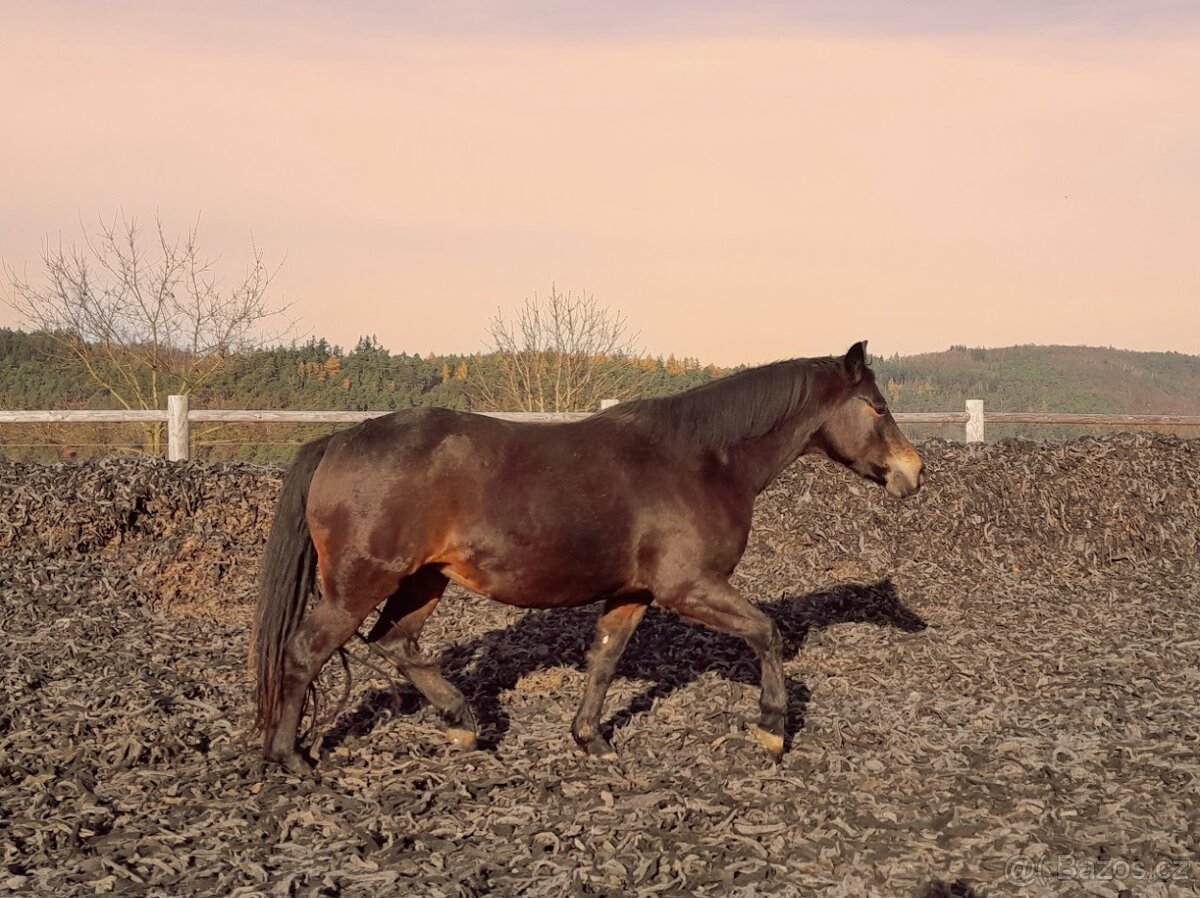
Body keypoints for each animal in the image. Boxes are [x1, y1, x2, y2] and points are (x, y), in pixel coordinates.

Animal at [252, 341, 923, 772]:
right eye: (879, 406)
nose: (913, 472)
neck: (701, 460)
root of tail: (341, 438)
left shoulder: (631, 593)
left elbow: (603, 660)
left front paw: (589, 739)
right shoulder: (689, 587)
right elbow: (766, 632)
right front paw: (771, 730)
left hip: (422, 582)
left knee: (395, 643)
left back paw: (463, 720)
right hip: (358, 586)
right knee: (305, 652)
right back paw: (290, 758)